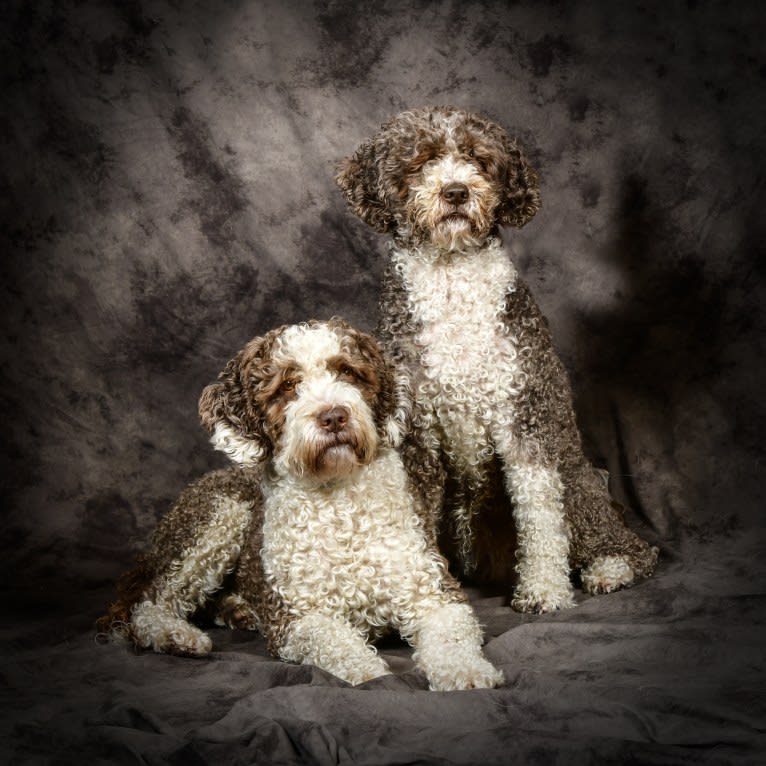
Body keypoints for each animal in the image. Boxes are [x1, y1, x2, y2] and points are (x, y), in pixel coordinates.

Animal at [97, 320, 504, 692]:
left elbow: (452, 635)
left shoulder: (434, 593)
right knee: (148, 604)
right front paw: (371, 673)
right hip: (219, 516)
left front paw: (465, 671)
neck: (340, 507)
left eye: (347, 371)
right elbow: (335, 642)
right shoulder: (295, 617)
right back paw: (176, 635)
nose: (334, 416)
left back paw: (236, 609)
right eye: (288, 386)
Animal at [338, 105, 660, 616]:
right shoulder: (415, 436)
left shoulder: (525, 415)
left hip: (578, 481)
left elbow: (540, 514)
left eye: (477, 158)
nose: (456, 191)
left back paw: (610, 568)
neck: (452, 281)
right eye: (422, 160)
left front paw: (544, 590)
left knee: (627, 544)